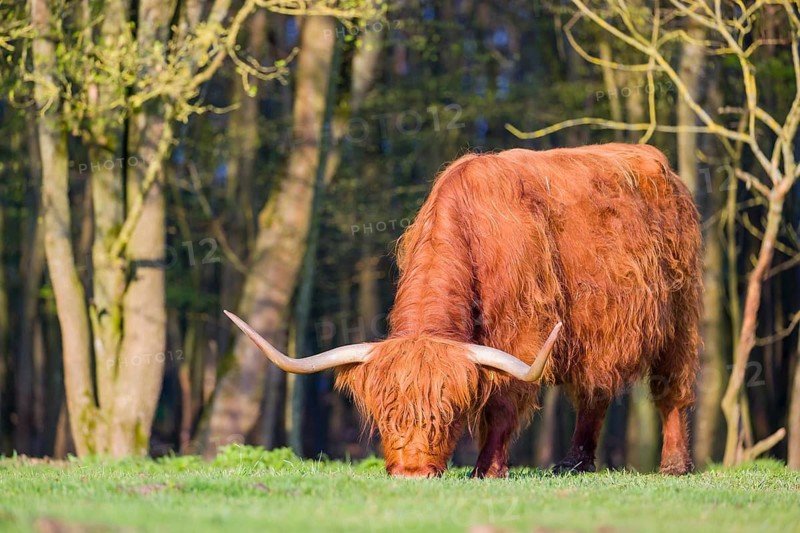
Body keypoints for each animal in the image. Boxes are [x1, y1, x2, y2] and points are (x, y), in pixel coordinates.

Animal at [226, 143, 702, 478]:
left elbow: (502, 404)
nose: (412, 474)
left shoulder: (523, 334)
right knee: (595, 391)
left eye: (448, 413)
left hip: (681, 316)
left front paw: (487, 470)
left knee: (672, 390)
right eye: (385, 413)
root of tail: (658, 162)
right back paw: (573, 464)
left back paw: (674, 466)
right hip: (600, 339)